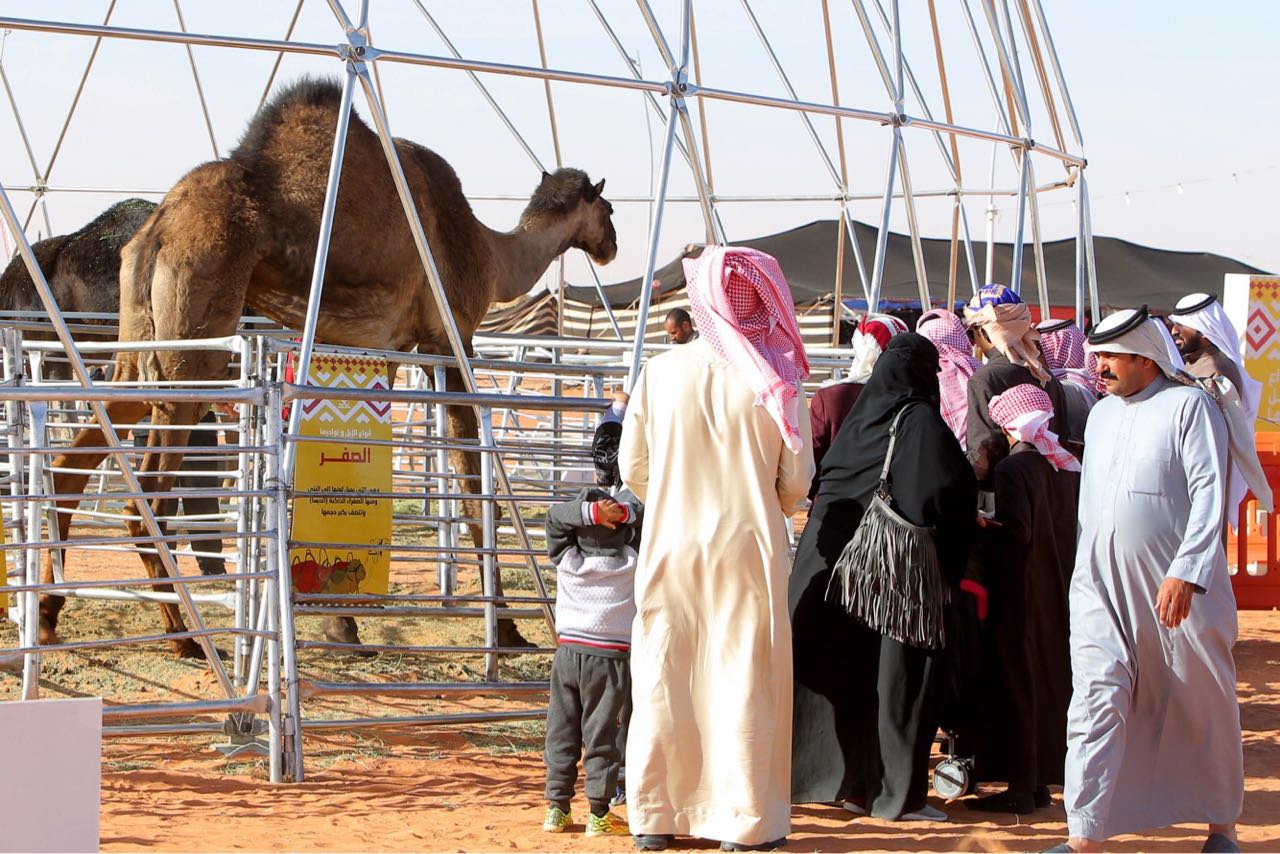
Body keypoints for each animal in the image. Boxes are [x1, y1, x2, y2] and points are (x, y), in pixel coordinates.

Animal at [37, 76, 616, 660]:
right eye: (609, 209)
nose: (610, 247)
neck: (495, 257)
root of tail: (156, 231)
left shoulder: (378, 347)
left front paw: (344, 625)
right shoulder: (450, 340)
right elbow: (475, 488)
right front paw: (510, 632)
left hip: (140, 343)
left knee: (69, 465)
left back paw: (46, 615)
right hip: (193, 344)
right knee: (147, 499)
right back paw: (188, 638)